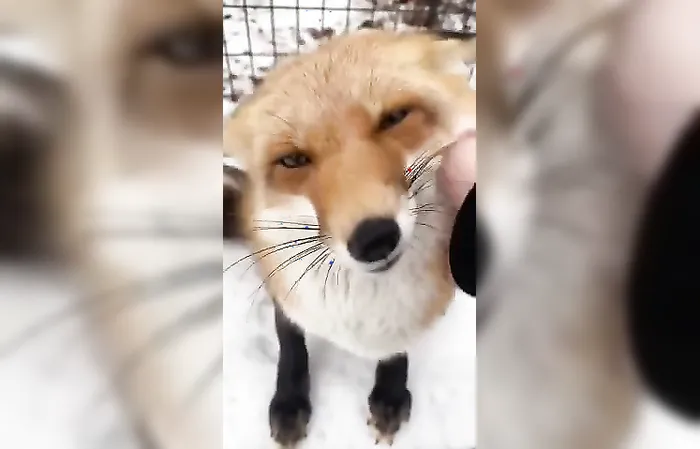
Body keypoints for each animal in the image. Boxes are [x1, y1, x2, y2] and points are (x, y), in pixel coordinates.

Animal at [224, 30, 476, 446]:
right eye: (292, 161)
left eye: (394, 118)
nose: (374, 238)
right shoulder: (283, 292)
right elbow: (291, 346)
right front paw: (290, 401)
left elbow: (397, 348)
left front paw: (390, 393)